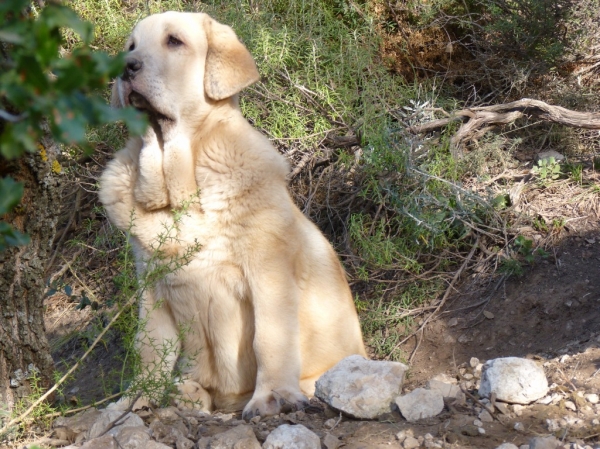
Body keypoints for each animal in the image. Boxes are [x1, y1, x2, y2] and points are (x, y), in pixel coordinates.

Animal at [98, 10, 366, 418]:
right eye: (131, 45)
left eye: (174, 41)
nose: (127, 67)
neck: (179, 194)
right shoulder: (151, 284)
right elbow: (148, 347)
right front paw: (137, 398)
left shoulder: (266, 272)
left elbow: (269, 339)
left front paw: (272, 396)